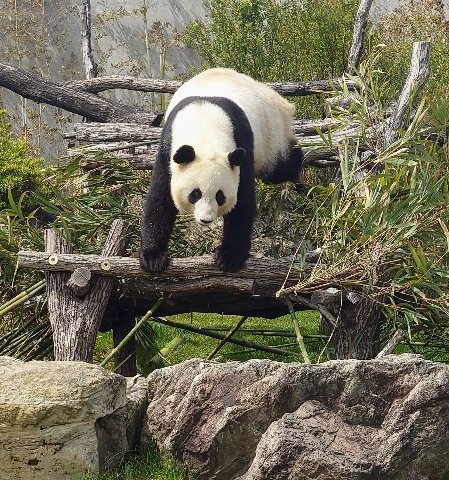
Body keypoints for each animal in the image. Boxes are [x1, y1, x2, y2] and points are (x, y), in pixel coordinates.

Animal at [139, 67, 303, 274]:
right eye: (195, 194)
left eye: (220, 196)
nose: (206, 220)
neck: (205, 126)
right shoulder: (167, 148)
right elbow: (160, 200)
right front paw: (153, 258)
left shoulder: (242, 145)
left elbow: (242, 202)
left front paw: (229, 257)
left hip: (271, 136)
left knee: (281, 167)